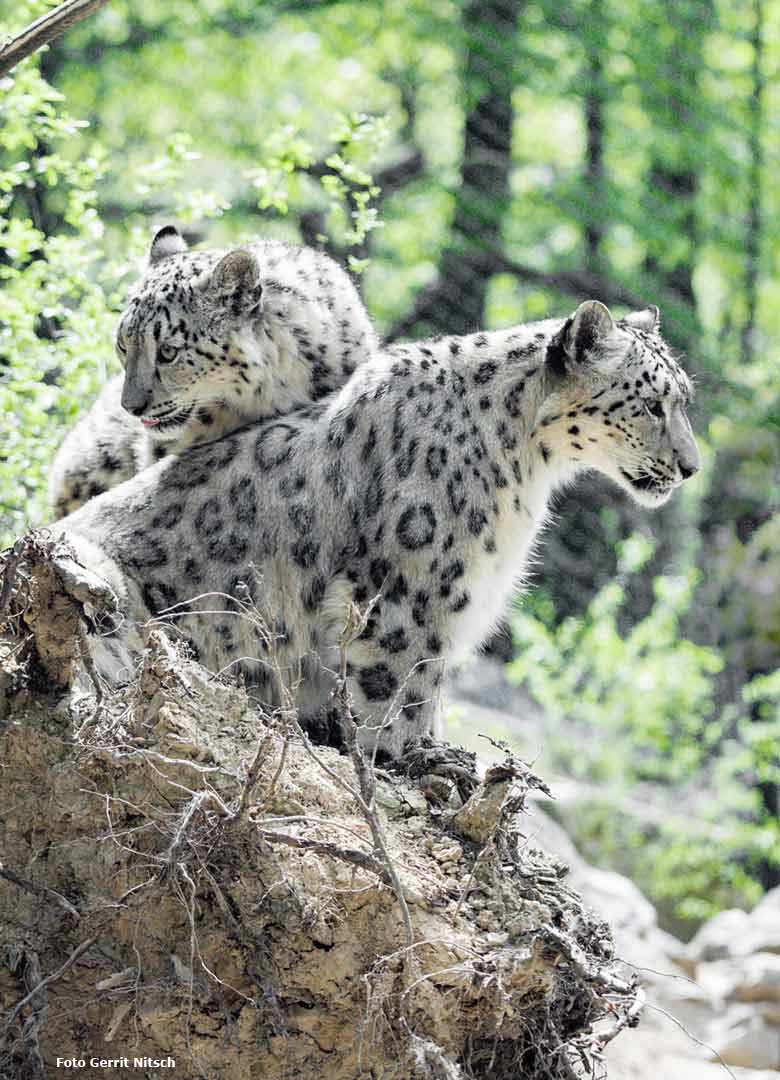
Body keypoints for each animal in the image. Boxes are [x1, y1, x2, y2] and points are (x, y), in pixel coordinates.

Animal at [54, 300, 700, 756]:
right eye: (652, 404)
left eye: (684, 398)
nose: (691, 466)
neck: (527, 471)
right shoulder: (409, 604)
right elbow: (398, 698)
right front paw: (408, 760)